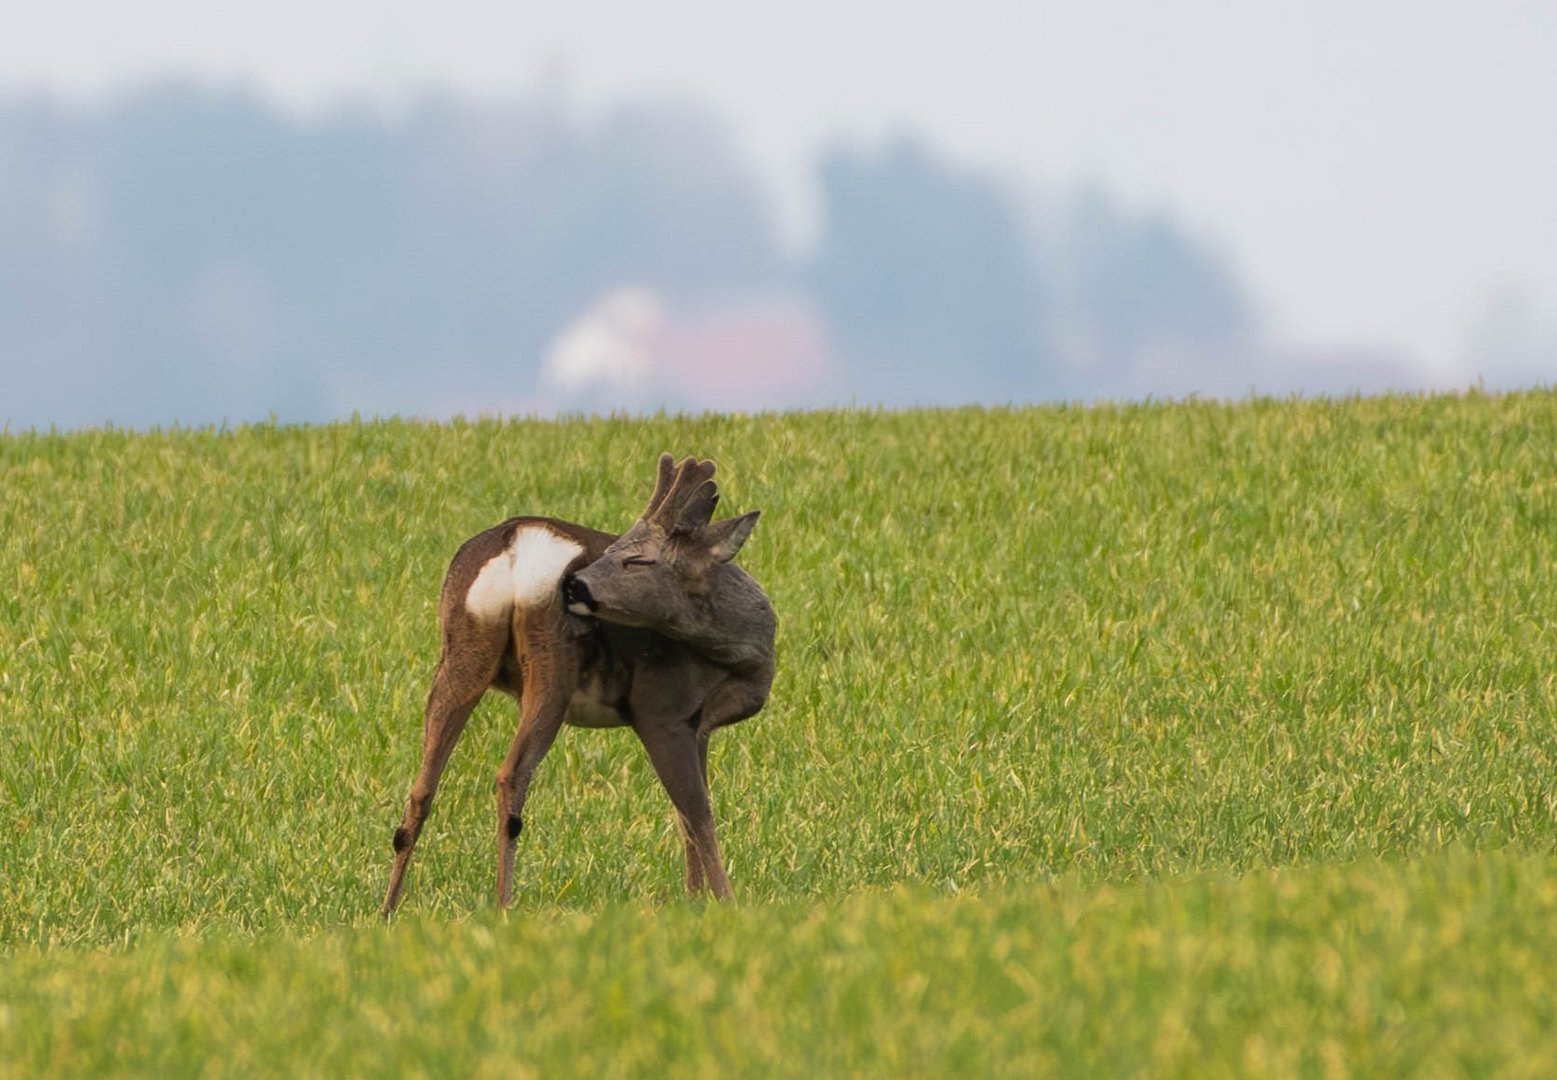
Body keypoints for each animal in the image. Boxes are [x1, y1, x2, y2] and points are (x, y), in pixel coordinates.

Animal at [379, 451, 775, 915]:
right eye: (623, 551)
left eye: (637, 559)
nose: (574, 584)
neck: (742, 655)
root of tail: (514, 548)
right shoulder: (662, 709)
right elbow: (697, 813)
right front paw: (725, 902)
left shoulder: (699, 725)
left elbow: (685, 817)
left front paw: (693, 901)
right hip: (552, 668)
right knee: (511, 774)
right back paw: (503, 905)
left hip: (461, 652)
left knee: (422, 787)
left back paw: (387, 911)